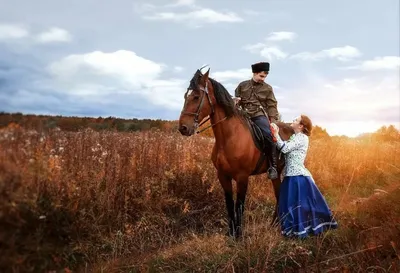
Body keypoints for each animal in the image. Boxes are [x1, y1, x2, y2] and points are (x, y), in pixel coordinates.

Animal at [178, 66, 294, 238]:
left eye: (196, 97)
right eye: (186, 96)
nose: (183, 128)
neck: (228, 138)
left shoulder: (242, 177)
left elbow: (239, 205)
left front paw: (238, 235)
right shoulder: (223, 176)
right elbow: (229, 203)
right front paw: (231, 233)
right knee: (279, 194)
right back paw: (275, 224)